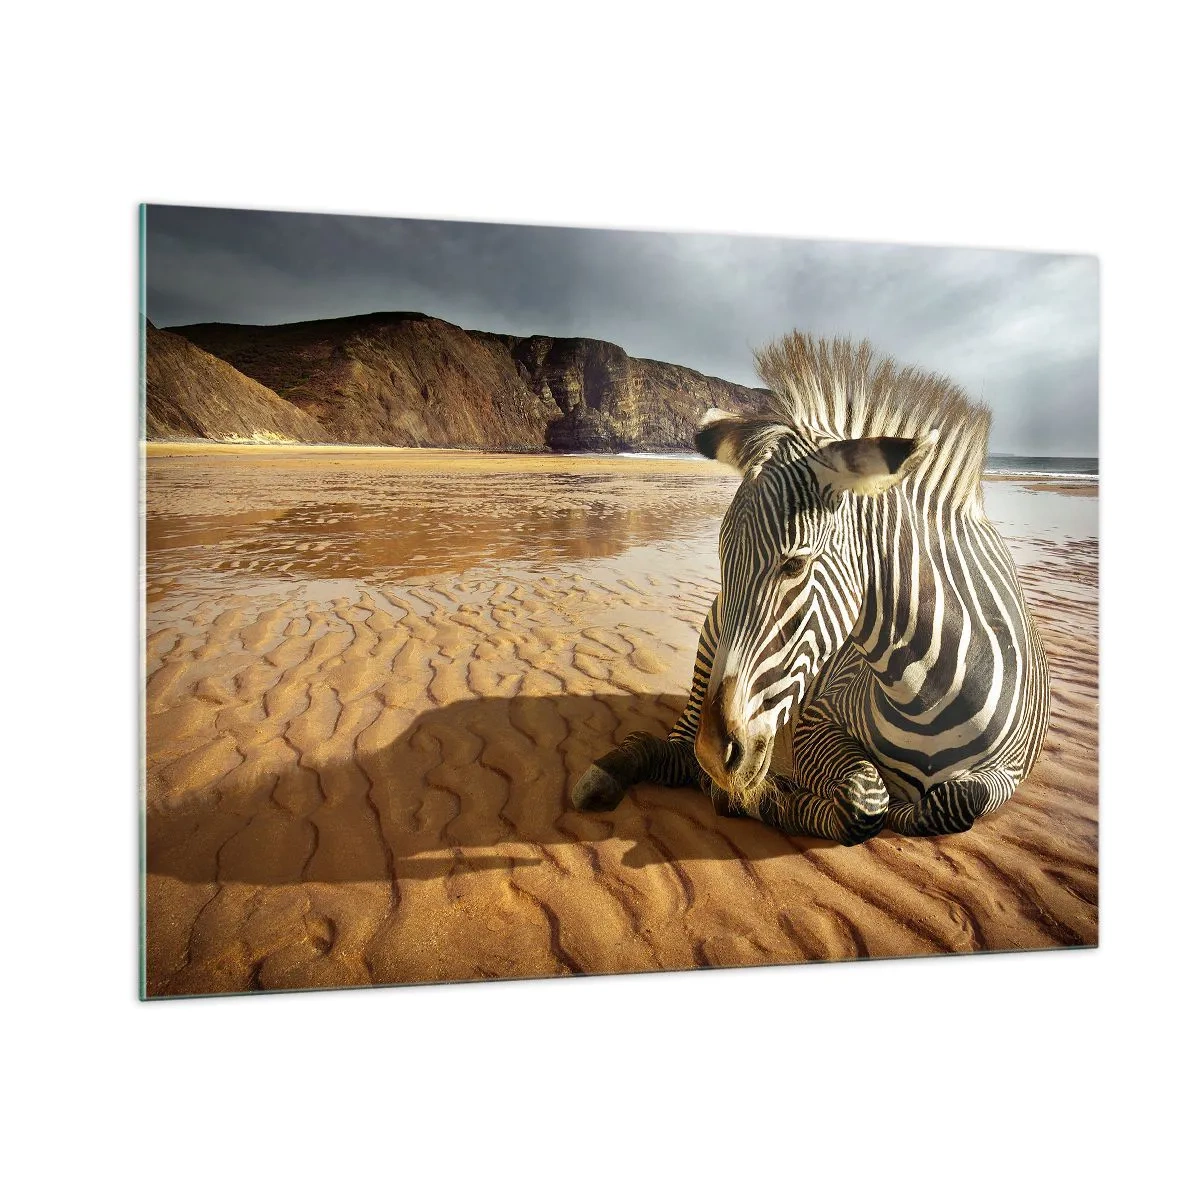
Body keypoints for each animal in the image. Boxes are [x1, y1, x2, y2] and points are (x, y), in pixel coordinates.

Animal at [571, 333, 1050, 844]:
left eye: (795, 565)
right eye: (722, 560)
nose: (716, 754)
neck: (928, 694)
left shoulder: (1011, 771)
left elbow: (953, 802)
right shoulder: (817, 720)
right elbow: (865, 801)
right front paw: (761, 799)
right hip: (710, 646)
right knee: (678, 750)